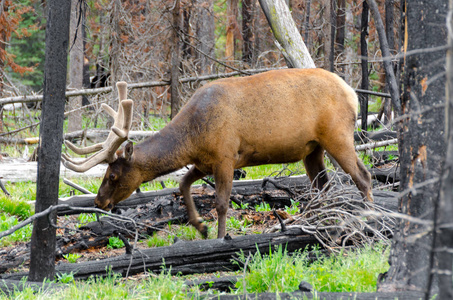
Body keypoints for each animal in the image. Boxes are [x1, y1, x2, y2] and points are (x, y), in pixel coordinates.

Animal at [61, 68, 372, 239]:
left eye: (113, 175)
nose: (99, 201)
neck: (192, 136)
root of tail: (352, 93)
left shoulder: (226, 156)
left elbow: (222, 203)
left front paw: (221, 236)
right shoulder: (203, 161)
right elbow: (182, 183)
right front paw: (200, 226)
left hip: (338, 135)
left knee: (363, 176)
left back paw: (370, 216)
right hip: (312, 148)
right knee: (323, 186)